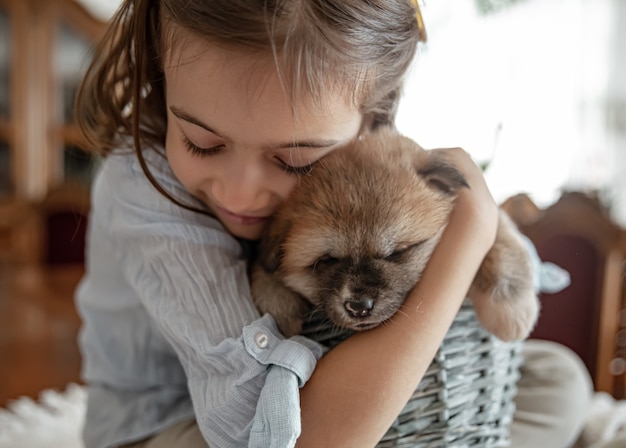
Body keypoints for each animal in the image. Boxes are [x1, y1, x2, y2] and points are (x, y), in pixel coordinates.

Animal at [249, 128, 536, 342]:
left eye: (397, 252)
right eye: (326, 261)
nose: (359, 306)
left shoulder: (493, 216)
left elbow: (503, 247)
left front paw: (510, 311)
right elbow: (262, 271)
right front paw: (279, 306)